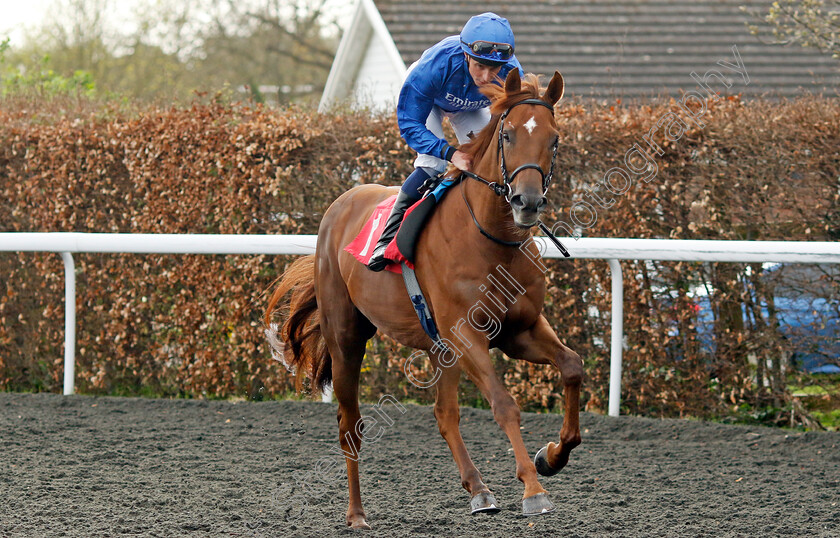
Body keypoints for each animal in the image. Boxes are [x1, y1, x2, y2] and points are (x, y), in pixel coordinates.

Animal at [266, 69, 580, 524]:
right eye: (507, 136)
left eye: (554, 139)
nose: (527, 202)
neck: (490, 239)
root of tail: (341, 203)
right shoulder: (466, 334)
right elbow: (504, 404)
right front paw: (533, 489)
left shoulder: (519, 330)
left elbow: (572, 367)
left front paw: (551, 457)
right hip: (347, 340)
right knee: (349, 425)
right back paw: (357, 513)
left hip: (438, 346)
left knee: (444, 415)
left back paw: (479, 490)